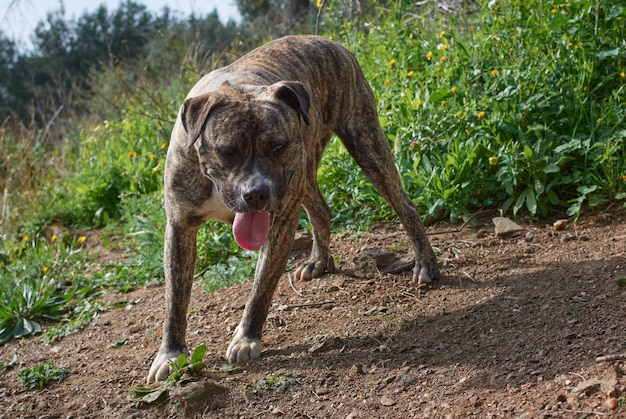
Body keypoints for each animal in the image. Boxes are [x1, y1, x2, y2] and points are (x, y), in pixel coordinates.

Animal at [147, 35, 438, 384]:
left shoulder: (281, 220)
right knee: (321, 210)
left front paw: (246, 337)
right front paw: (171, 354)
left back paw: (425, 263)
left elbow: (261, 287)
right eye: (228, 151)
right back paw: (318, 261)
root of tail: (330, 41)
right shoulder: (180, 227)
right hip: (305, 174)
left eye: (277, 146)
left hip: (364, 144)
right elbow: (175, 301)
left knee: (404, 205)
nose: (256, 193)